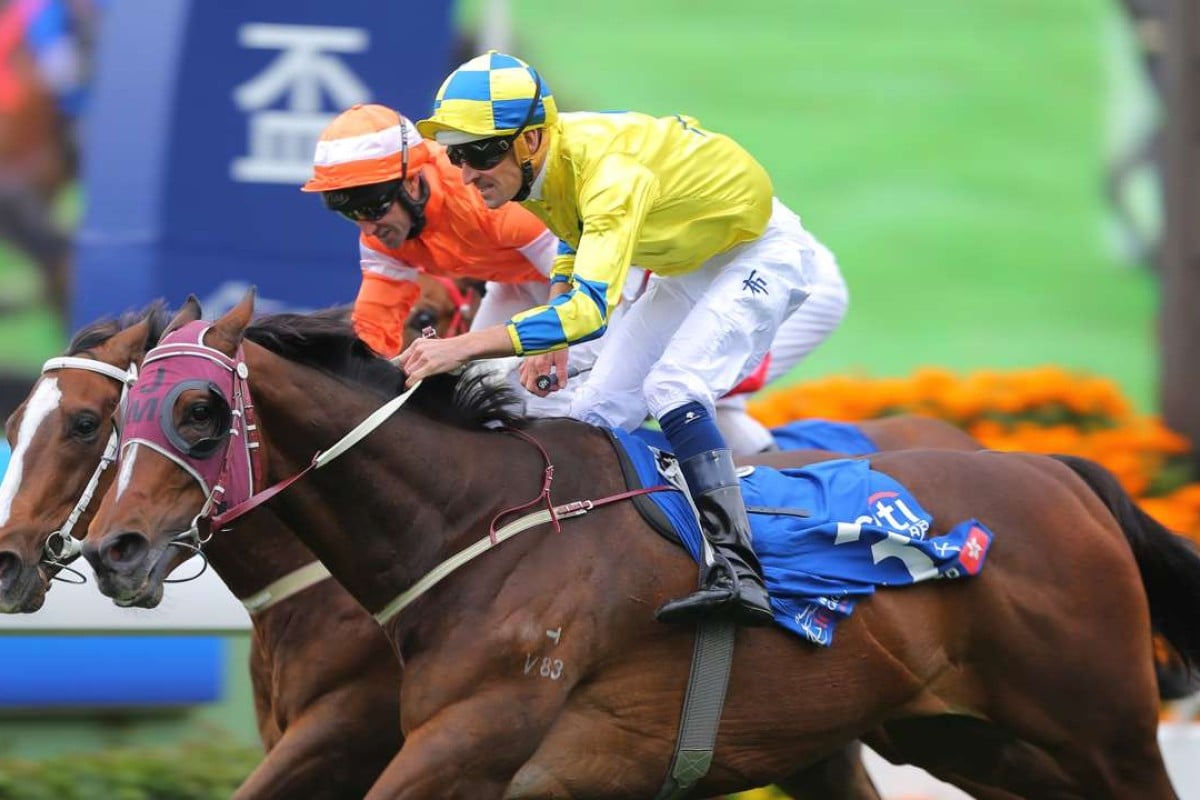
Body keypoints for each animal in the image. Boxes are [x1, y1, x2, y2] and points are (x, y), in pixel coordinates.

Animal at [84, 292, 1200, 800]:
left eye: (197, 412)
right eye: (112, 419)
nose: (114, 550)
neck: (478, 529)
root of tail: (1058, 471)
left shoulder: (471, 740)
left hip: (1101, 729)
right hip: (964, 734)